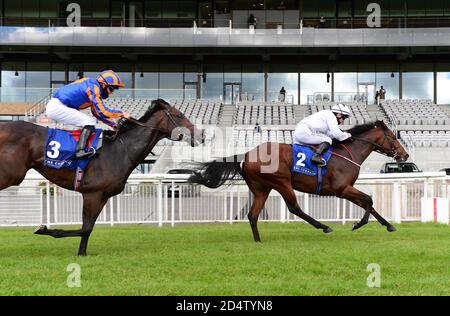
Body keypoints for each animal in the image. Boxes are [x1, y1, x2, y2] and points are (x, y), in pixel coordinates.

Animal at [0, 99, 204, 256]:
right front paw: (44, 229)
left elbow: (87, 229)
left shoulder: (101, 196)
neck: (120, 150)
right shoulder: (92, 194)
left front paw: (81, 253)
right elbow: (85, 228)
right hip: (11, 175)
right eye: (179, 115)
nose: (200, 135)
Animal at [188, 119, 410, 241]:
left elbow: (369, 204)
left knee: (253, 215)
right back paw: (324, 226)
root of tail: (246, 155)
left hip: (262, 188)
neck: (348, 153)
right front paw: (357, 224)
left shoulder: (347, 189)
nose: (405, 155)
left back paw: (258, 241)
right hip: (282, 182)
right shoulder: (342, 189)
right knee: (294, 207)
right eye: (392, 137)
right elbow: (369, 200)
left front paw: (389, 225)